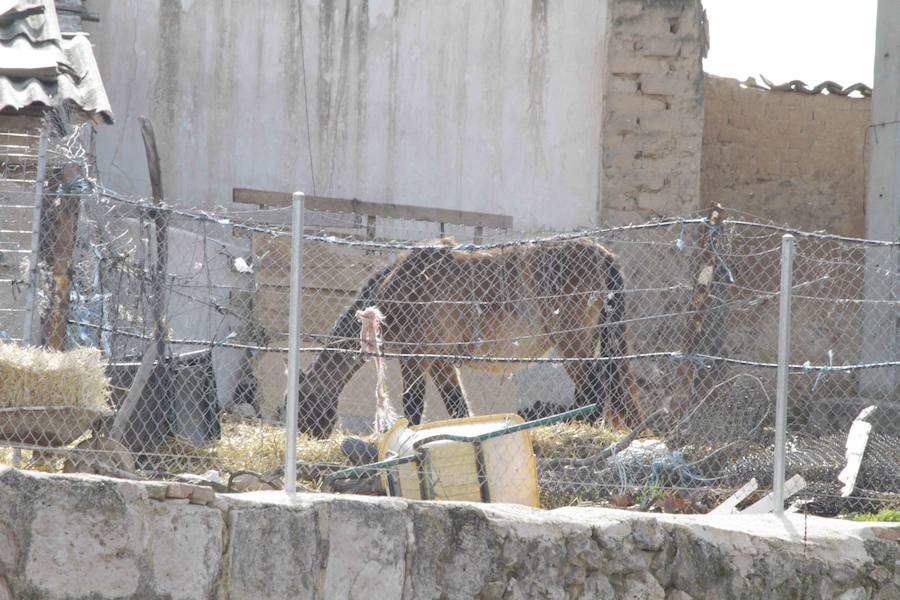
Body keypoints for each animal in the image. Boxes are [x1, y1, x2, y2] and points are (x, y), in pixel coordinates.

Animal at [298, 237, 644, 438]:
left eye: (300, 401)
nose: (303, 434)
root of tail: (601, 253)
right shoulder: (430, 363)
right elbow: (443, 407)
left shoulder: (424, 359)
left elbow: (426, 405)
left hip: (573, 342)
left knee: (594, 385)